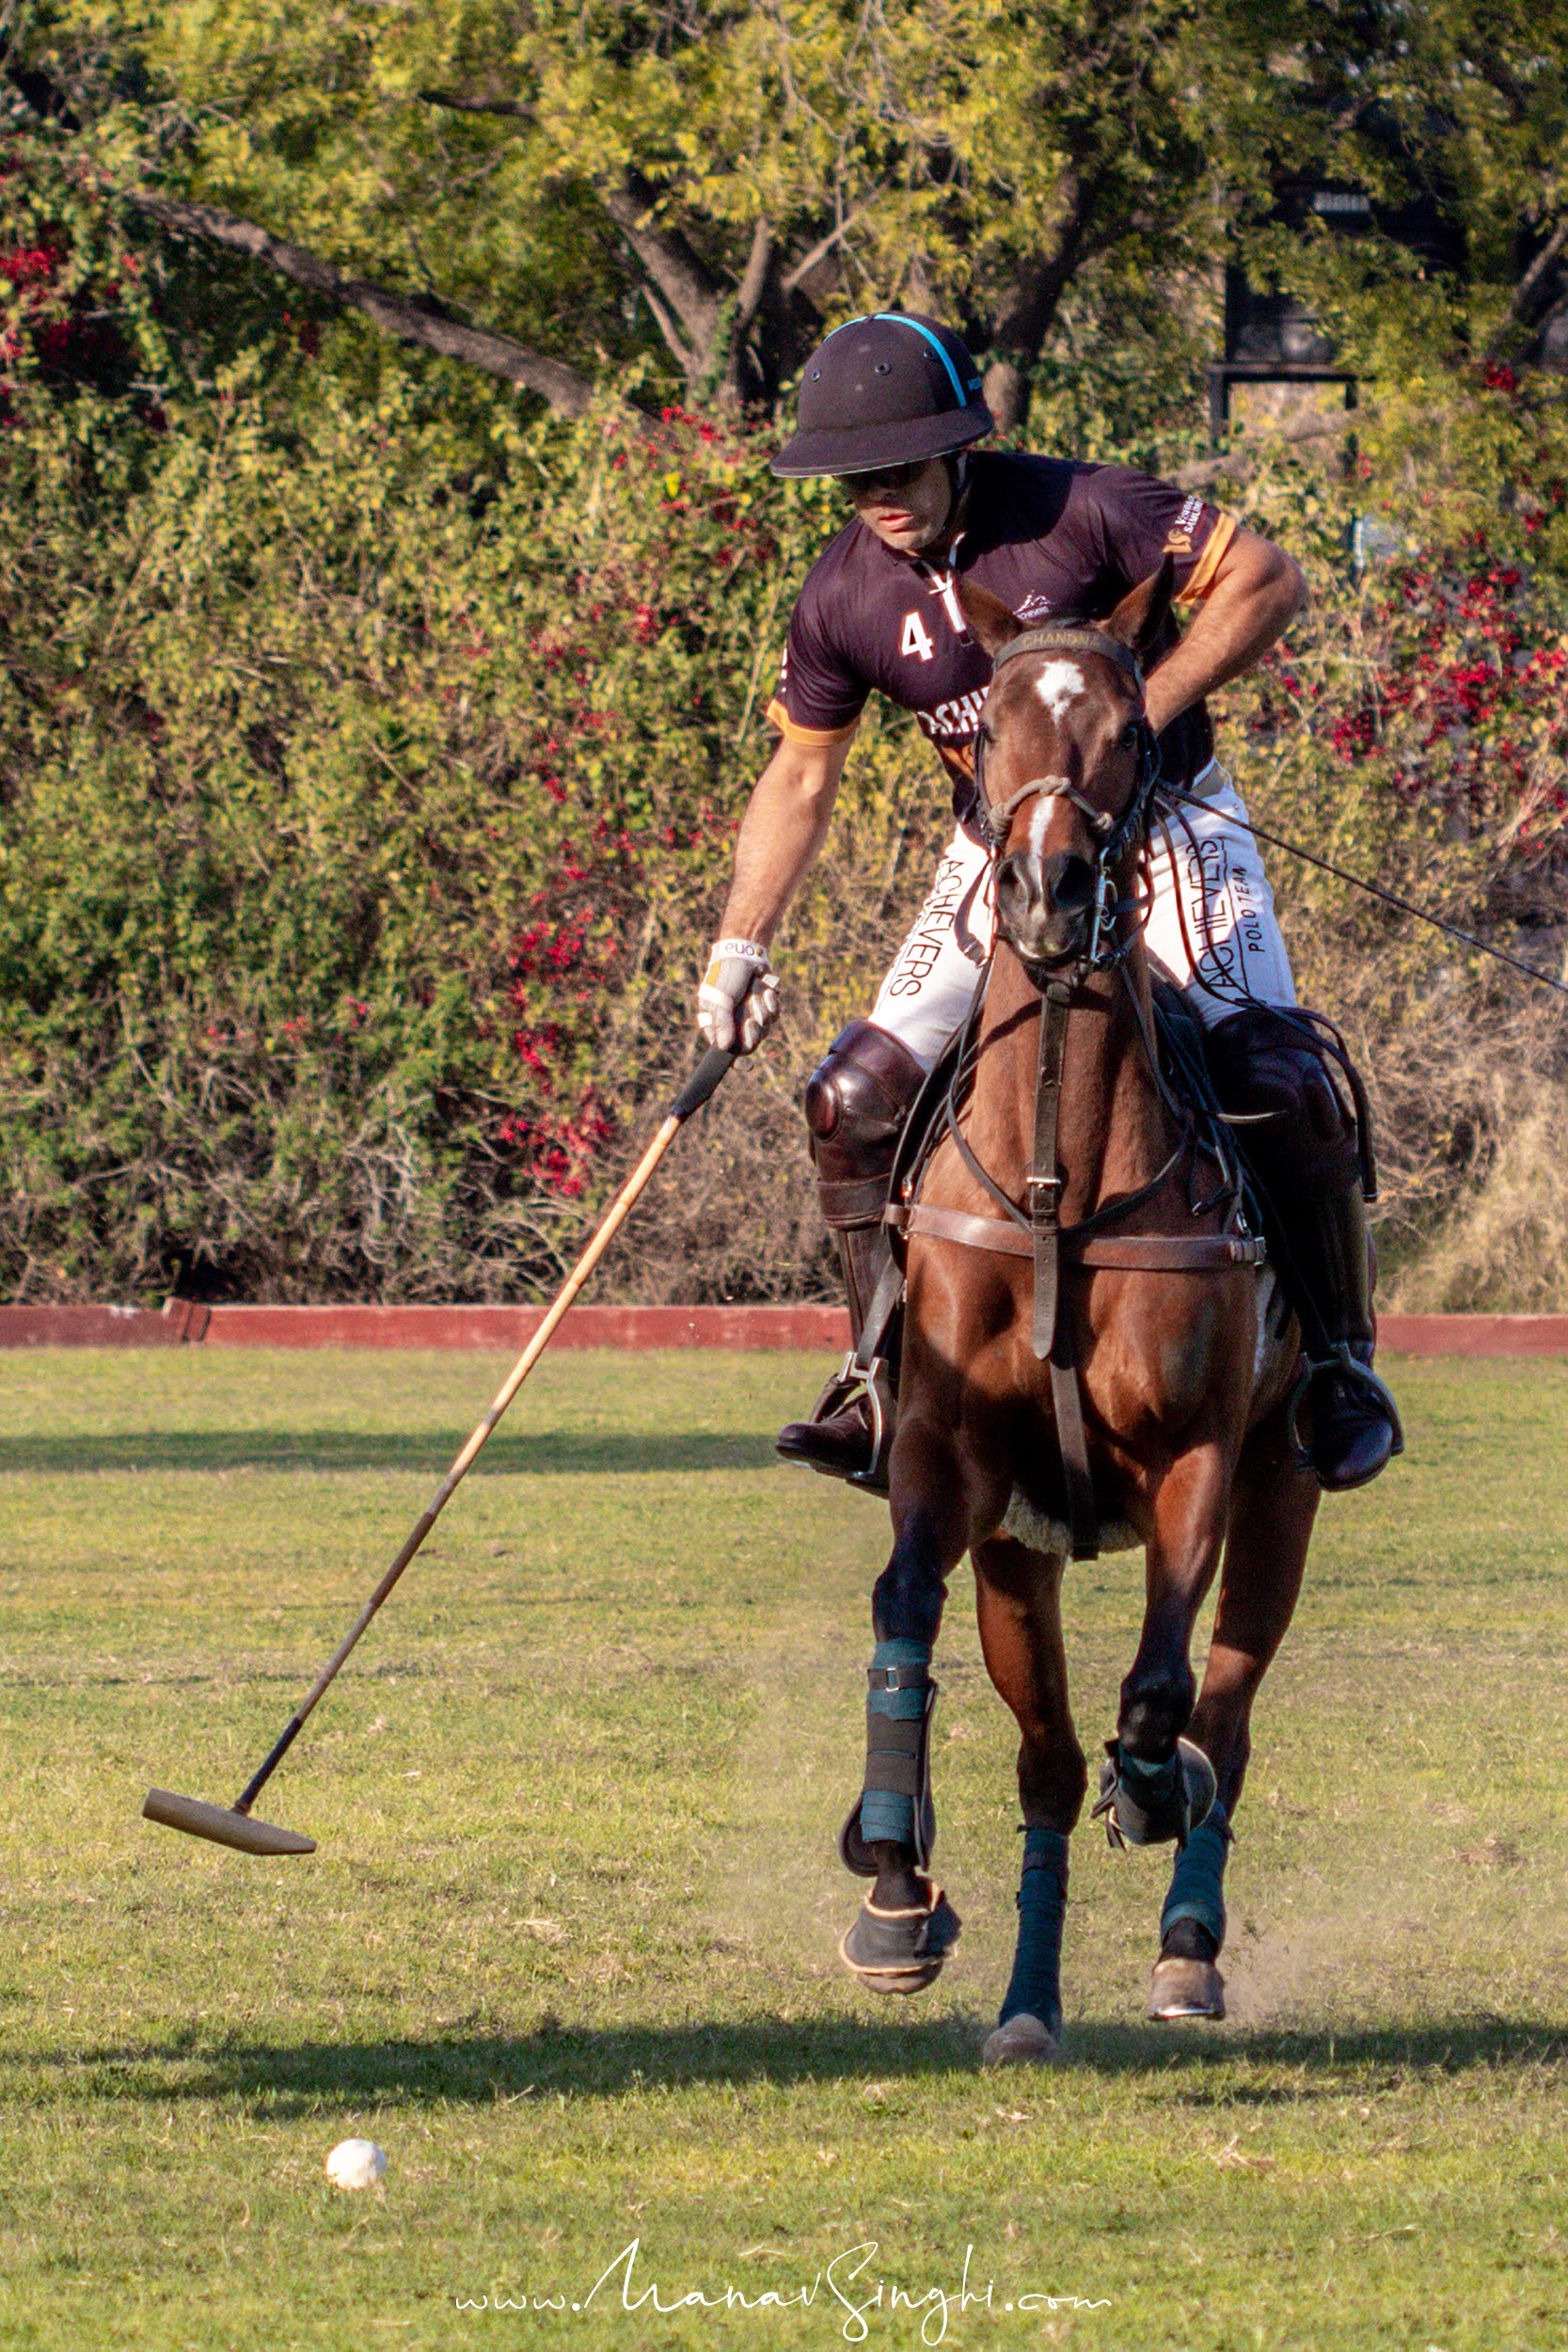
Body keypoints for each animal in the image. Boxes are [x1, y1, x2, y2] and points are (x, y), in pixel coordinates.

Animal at [841, 564, 1316, 2060]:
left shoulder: (1197, 1457)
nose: (1046, 895)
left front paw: (1155, 1793)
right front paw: (890, 1871)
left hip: (1284, 1480)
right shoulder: (954, 1460)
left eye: (1125, 731)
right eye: (985, 733)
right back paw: (1025, 2000)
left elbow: (1163, 1696)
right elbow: (900, 1603)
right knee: (1045, 1764)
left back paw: (1184, 1941)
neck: (1061, 1173)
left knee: (1225, 1714)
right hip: (1020, 1550)